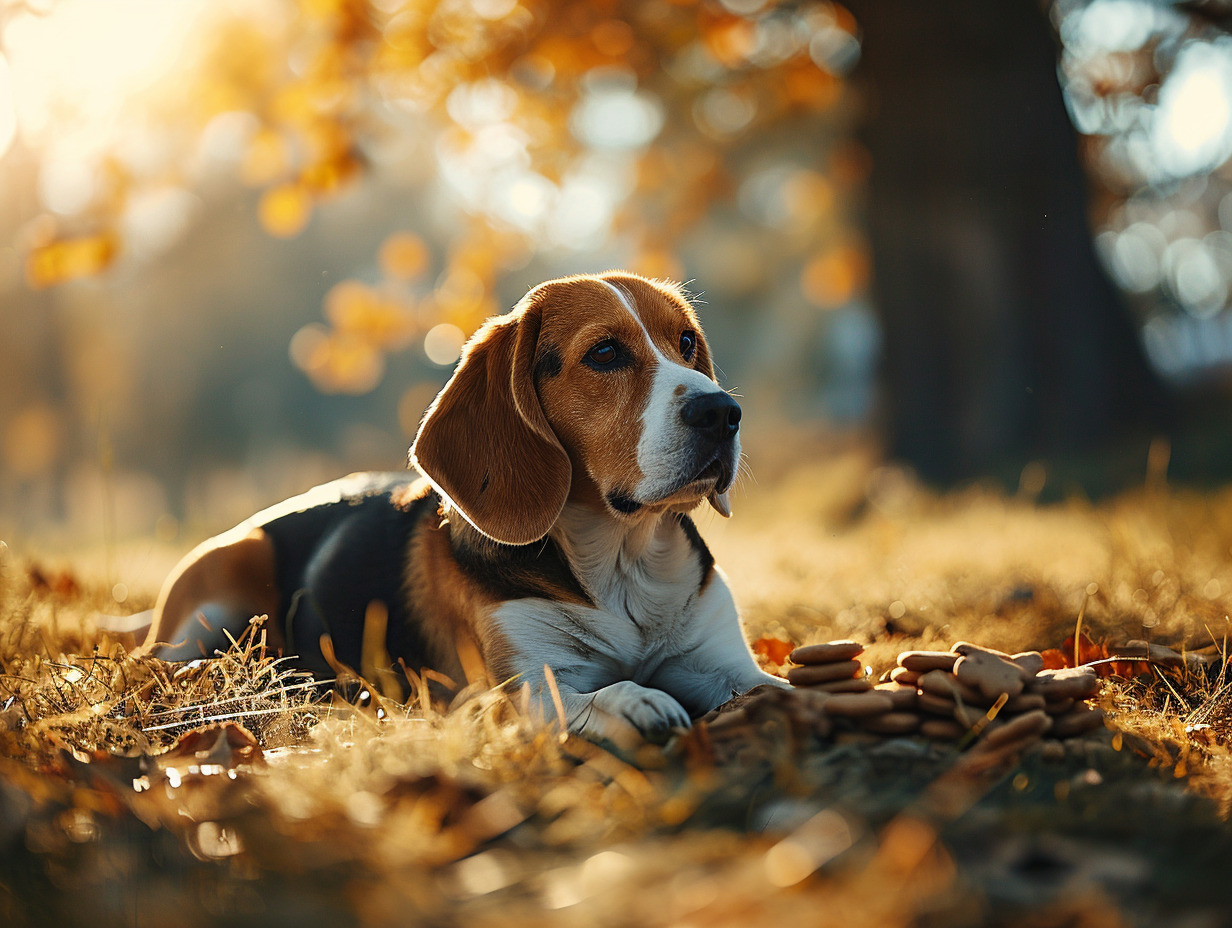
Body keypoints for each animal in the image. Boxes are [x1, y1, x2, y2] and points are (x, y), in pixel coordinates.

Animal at [141, 271, 778, 744]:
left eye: (688, 343)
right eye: (604, 352)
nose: (723, 412)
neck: (625, 564)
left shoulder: (724, 666)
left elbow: (778, 687)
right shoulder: (514, 693)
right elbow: (597, 695)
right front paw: (639, 702)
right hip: (225, 580)